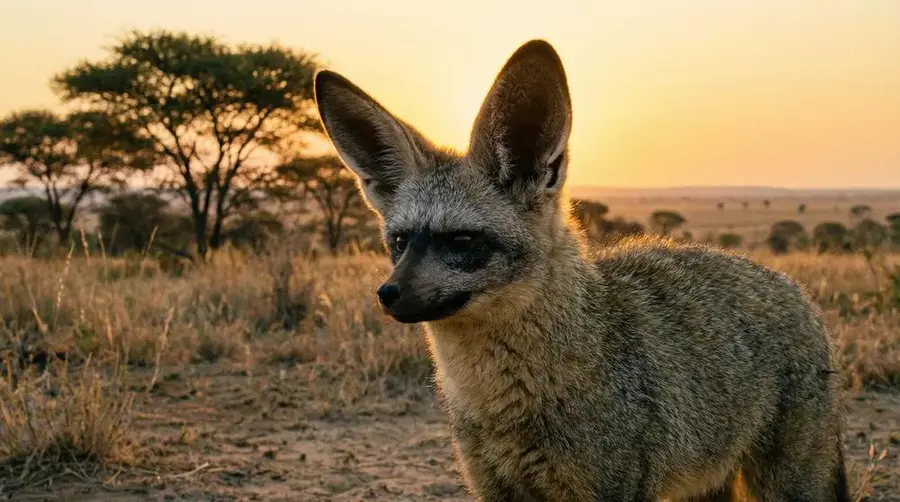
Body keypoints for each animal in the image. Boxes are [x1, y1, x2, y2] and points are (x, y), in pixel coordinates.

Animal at [313, 40, 851, 501]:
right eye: (400, 243)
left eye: (462, 241)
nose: (388, 293)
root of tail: (794, 289)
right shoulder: (495, 487)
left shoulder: (610, 487)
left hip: (785, 480)